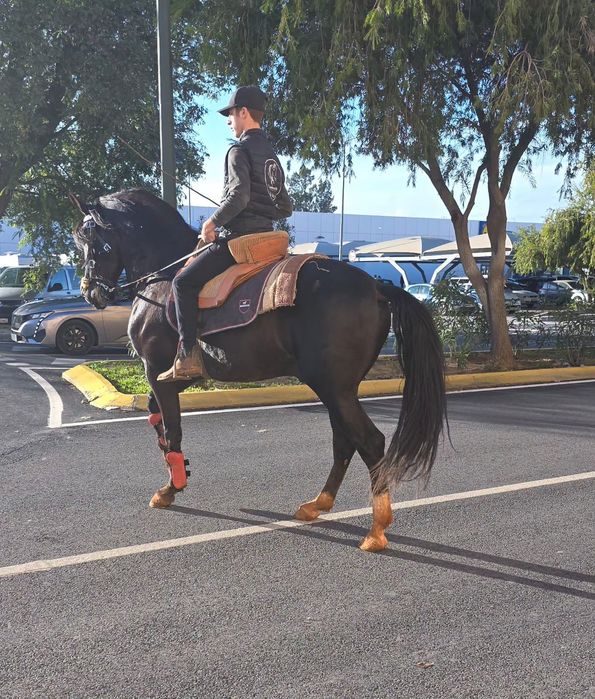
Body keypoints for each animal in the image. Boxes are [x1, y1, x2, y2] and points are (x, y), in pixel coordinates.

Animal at [70, 188, 447, 552]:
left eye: (89, 239)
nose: (90, 291)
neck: (162, 281)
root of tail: (377, 287)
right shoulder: (176, 378)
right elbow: (157, 420)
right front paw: (176, 477)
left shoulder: (155, 371)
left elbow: (171, 429)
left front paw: (171, 487)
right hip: (338, 388)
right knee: (344, 441)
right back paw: (319, 503)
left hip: (333, 387)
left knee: (369, 441)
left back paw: (376, 529)